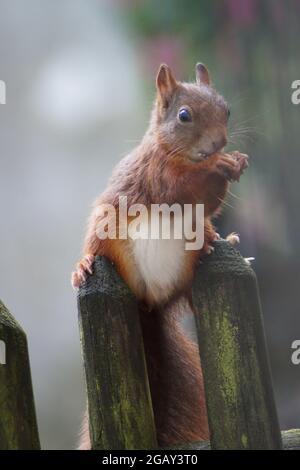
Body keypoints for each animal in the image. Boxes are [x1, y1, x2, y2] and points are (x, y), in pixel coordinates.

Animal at [72, 62, 248, 448]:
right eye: (184, 115)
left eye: (228, 110)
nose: (219, 144)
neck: (180, 155)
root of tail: (150, 301)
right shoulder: (157, 174)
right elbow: (179, 189)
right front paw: (220, 165)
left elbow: (206, 205)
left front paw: (236, 163)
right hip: (106, 231)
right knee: (95, 248)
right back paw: (83, 265)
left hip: (189, 263)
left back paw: (220, 240)